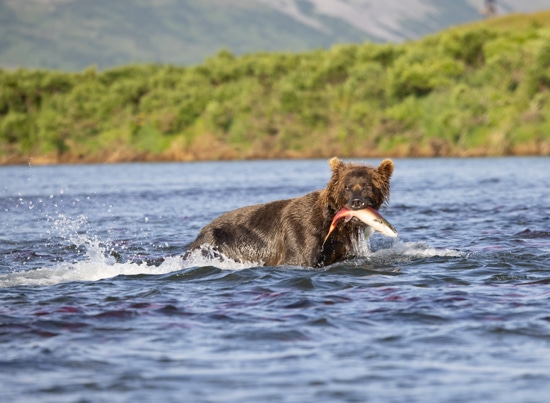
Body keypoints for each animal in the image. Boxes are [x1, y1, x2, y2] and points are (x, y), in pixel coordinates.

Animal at [188, 158, 394, 268]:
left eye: (367, 186)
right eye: (347, 187)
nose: (356, 202)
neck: (334, 224)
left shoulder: (339, 246)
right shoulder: (302, 232)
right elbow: (300, 258)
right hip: (217, 244)